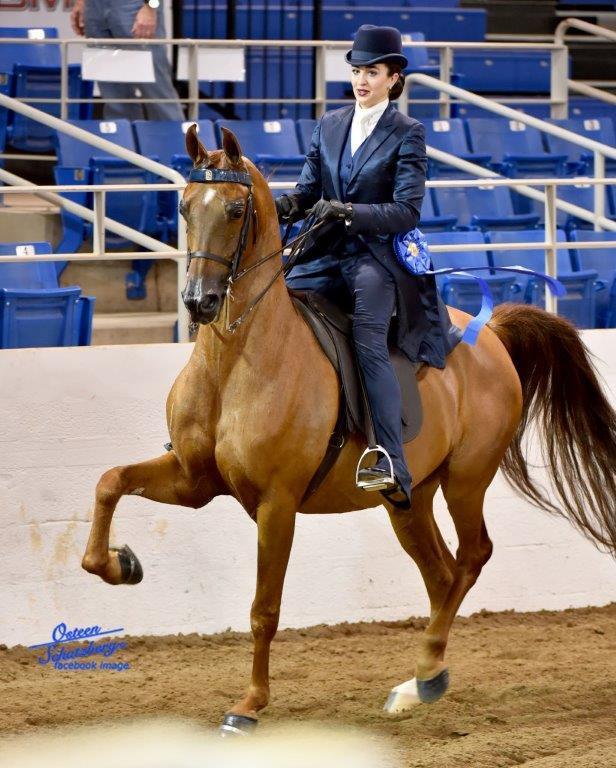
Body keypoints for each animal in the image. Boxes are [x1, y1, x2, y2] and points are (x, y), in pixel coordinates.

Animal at [81, 125, 616, 730]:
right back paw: (419, 681)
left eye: (237, 210)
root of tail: (493, 334)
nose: (199, 302)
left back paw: (425, 674)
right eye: (185, 206)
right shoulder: (193, 480)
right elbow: (110, 482)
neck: (237, 360)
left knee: (471, 558)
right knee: (442, 574)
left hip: (466, 479)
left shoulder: (277, 504)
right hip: (409, 498)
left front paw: (248, 705)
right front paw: (120, 564)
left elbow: (264, 608)